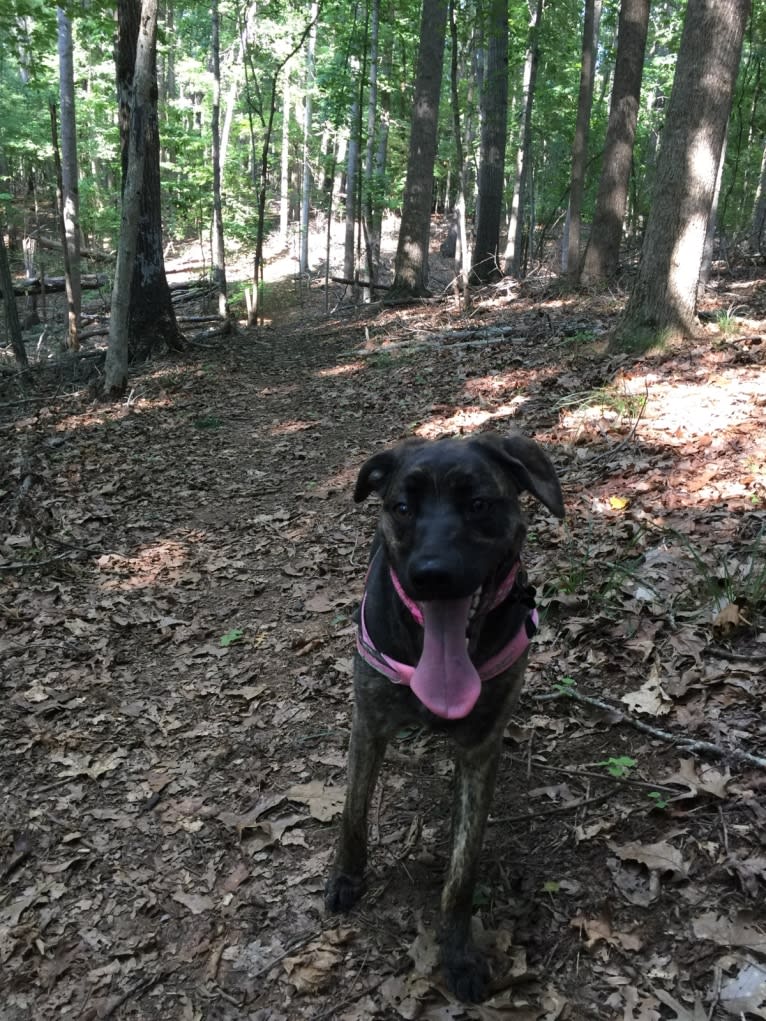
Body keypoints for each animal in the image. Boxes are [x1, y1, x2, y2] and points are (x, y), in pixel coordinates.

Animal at [324, 430, 563, 1004]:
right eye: (402, 508)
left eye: (477, 504)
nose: (431, 575)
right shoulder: (367, 724)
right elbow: (353, 813)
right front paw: (346, 878)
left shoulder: (479, 749)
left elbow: (462, 866)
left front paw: (457, 953)